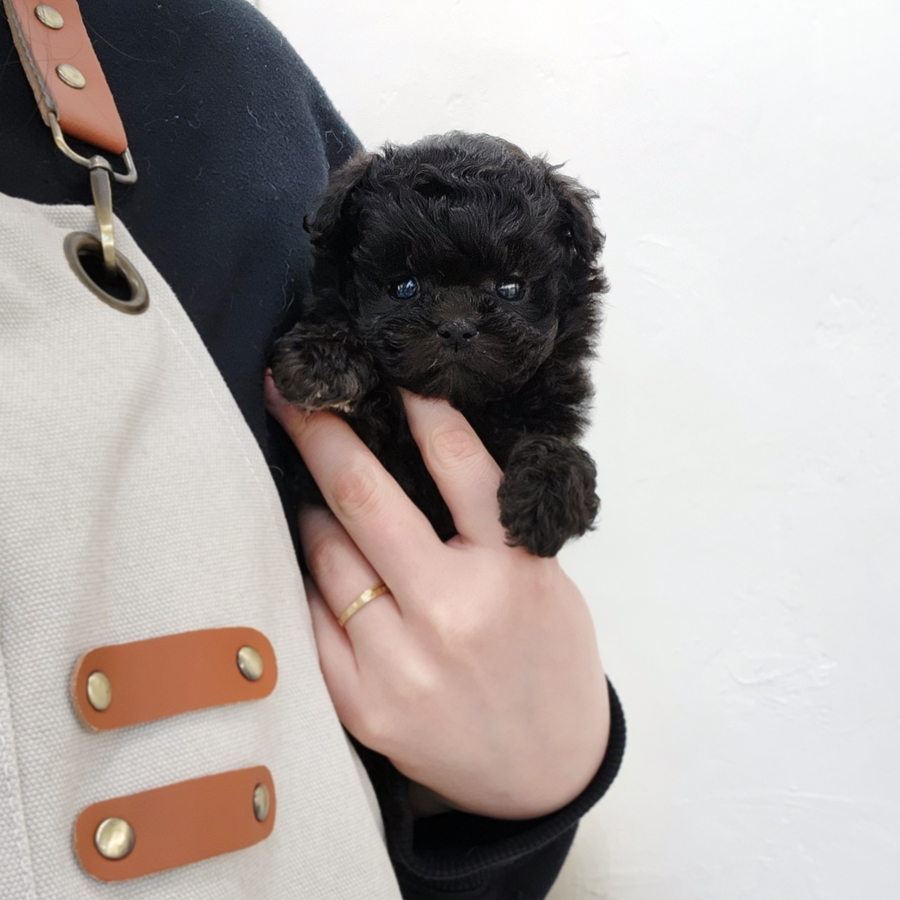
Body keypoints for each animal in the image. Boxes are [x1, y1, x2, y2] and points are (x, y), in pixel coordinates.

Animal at [270, 132, 607, 557]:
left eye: (510, 288)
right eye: (404, 287)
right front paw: (324, 358)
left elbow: (553, 438)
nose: (457, 326)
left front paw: (550, 493)